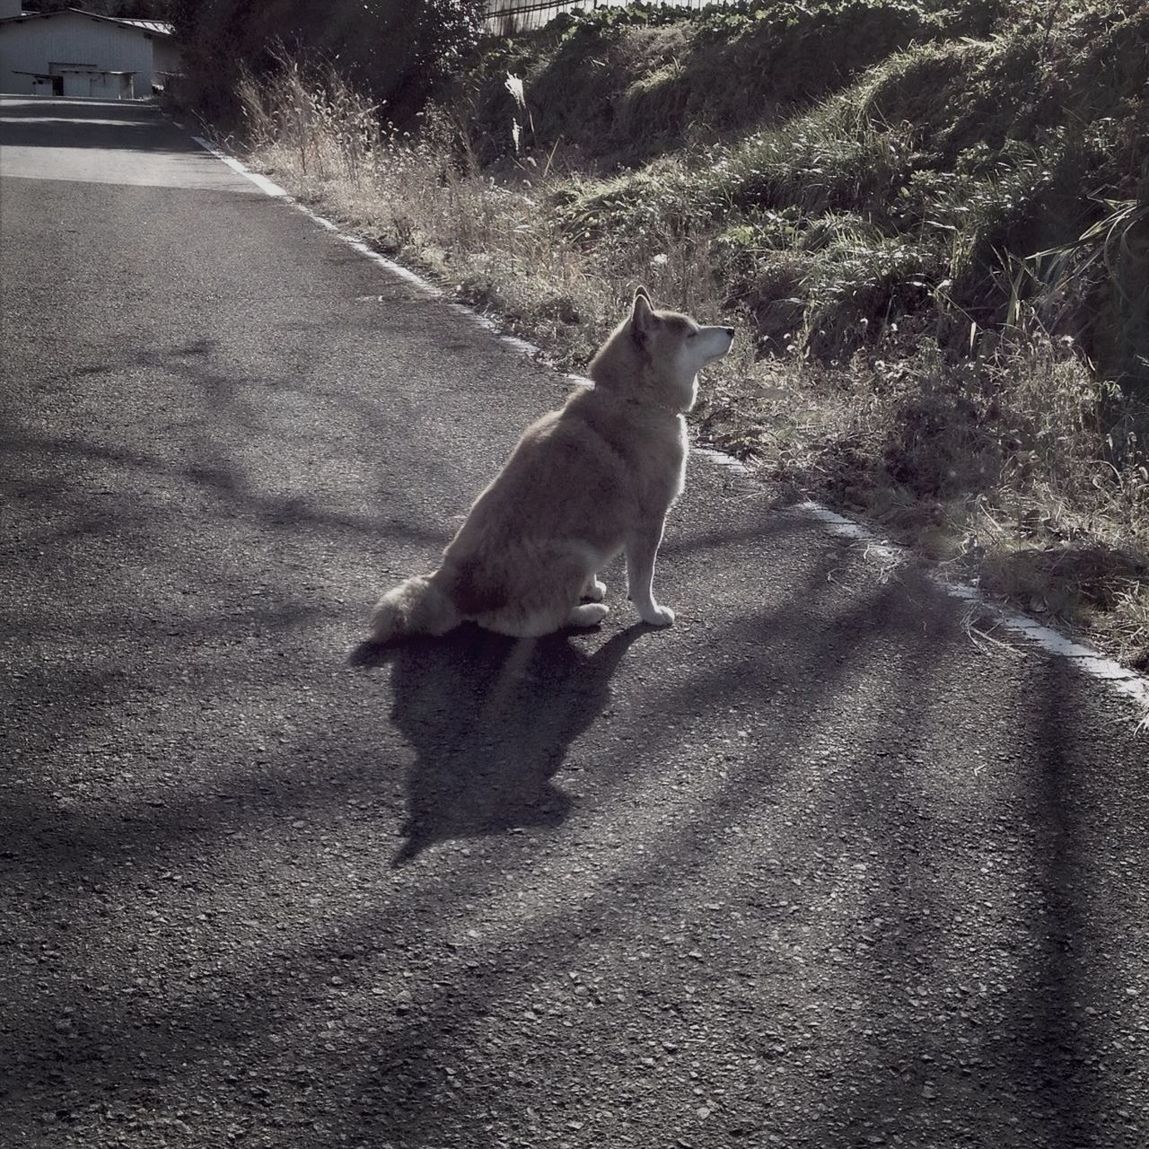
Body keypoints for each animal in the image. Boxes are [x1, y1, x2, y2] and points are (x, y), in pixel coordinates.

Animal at [372, 287, 739, 643]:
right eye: (692, 334)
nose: (732, 329)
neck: (634, 400)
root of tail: (455, 587)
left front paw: (591, 587)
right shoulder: (649, 520)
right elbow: (641, 580)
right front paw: (651, 614)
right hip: (573, 553)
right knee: (526, 625)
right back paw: (586, 614)